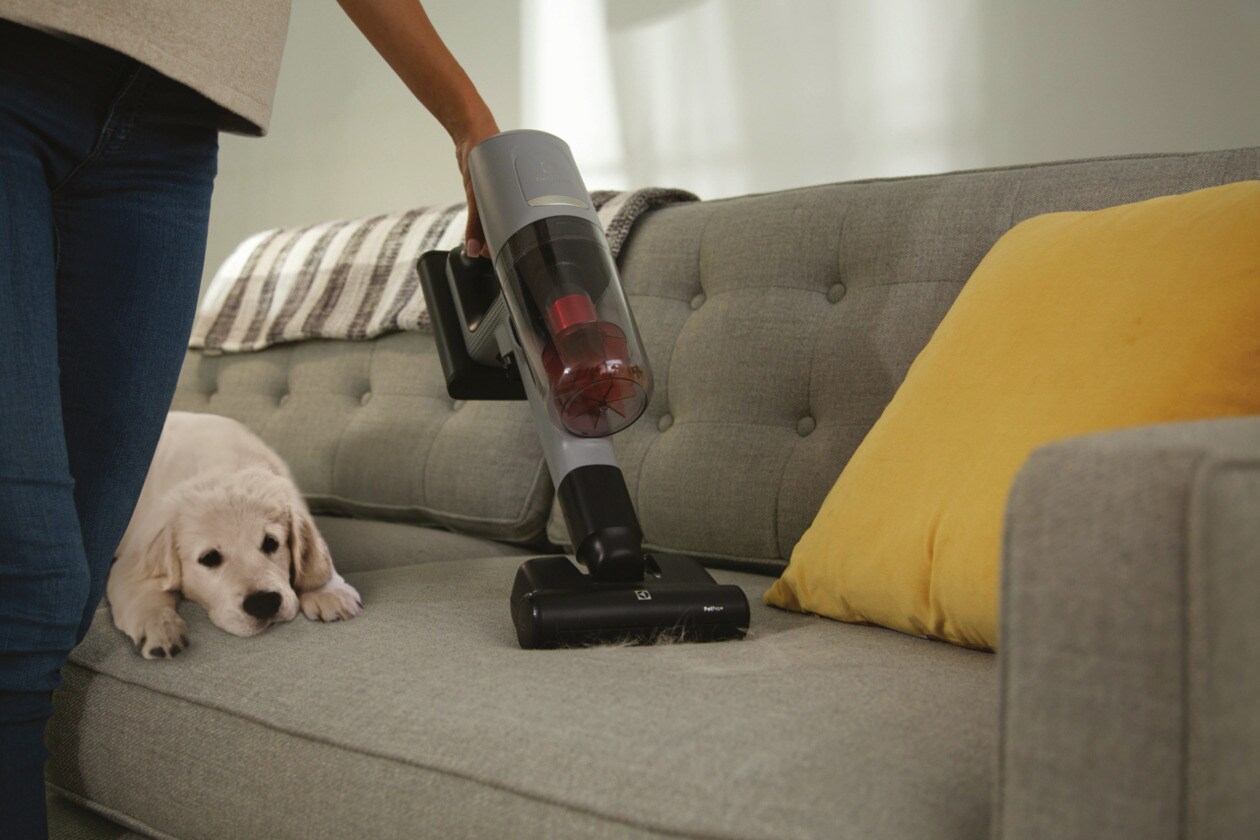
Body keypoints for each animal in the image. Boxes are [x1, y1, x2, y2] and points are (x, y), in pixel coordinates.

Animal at [108, 411, 362, 659]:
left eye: (271, 543)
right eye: (210, 558)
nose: (264, 603)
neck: (223, 467)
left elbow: (317, 555)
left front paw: (327, 590)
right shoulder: (134, 556)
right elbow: (140, 589)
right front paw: (160, 627)